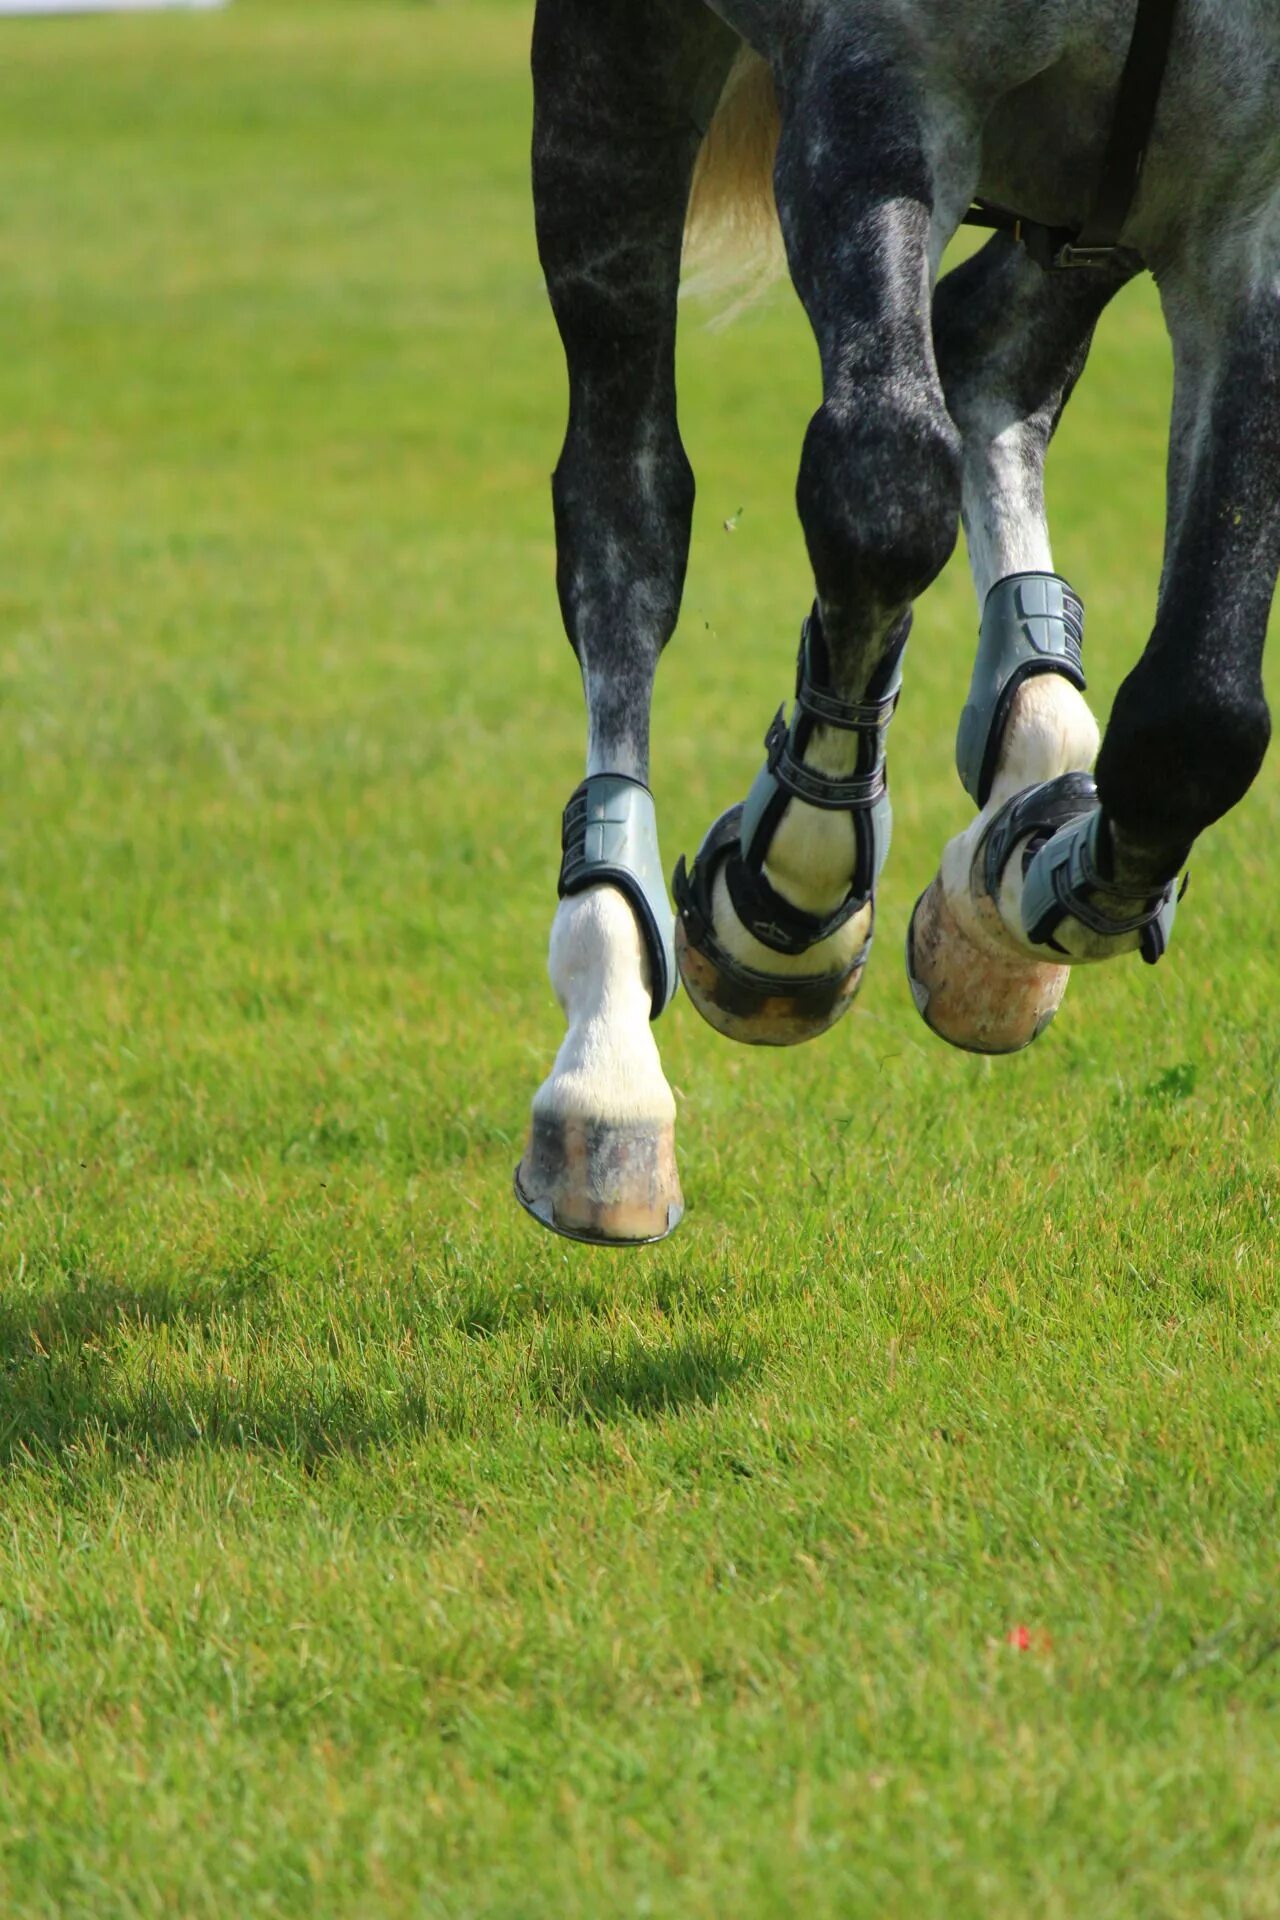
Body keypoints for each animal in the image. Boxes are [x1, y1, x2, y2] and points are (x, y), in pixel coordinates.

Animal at [510, 0, 1280, 1251]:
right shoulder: (878, 94)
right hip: (617, 72)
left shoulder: (1243, 209)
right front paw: (782, 893)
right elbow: (880, 489)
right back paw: (606, 1064)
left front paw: (1042, 876)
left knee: (984, 346)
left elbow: (1196, 715)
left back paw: (1028, 778)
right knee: (623, 504)